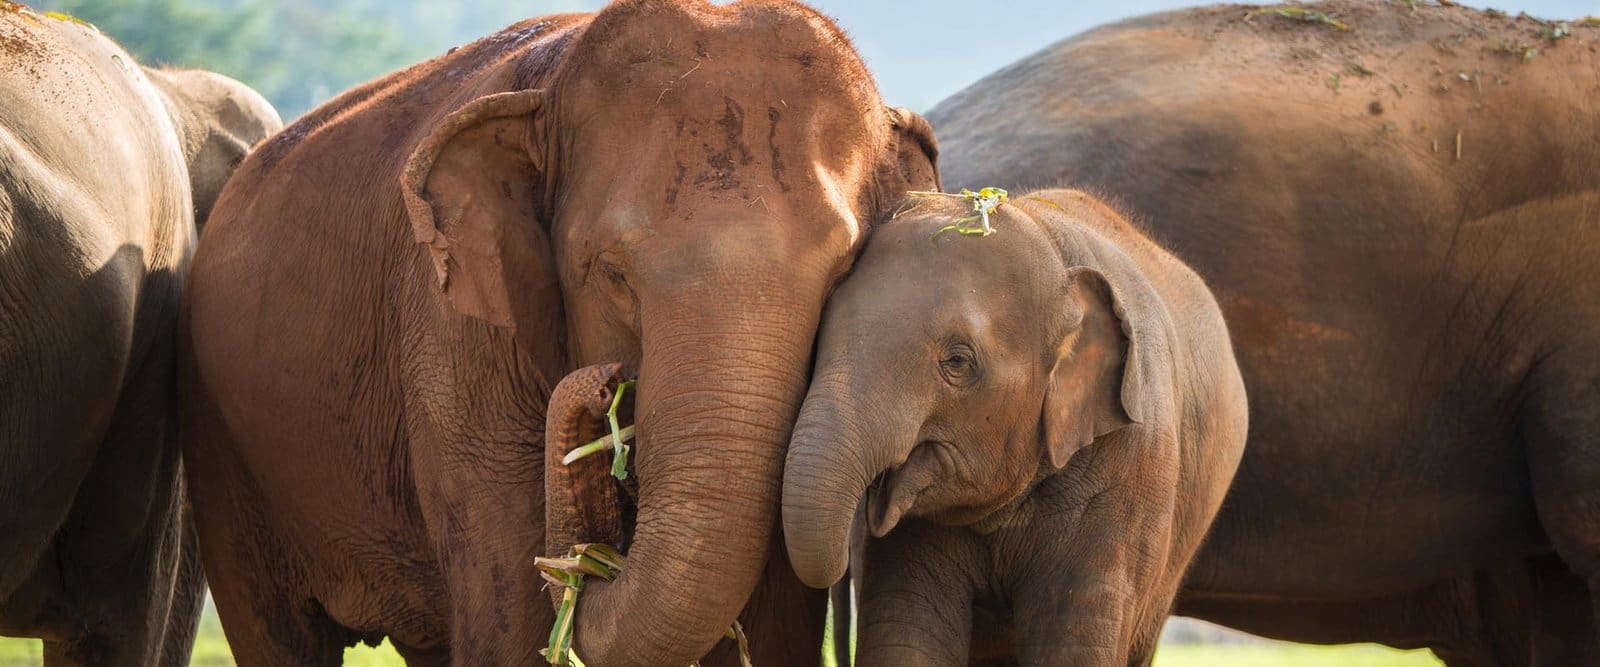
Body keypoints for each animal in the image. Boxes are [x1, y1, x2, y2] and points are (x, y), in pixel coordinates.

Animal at [178, 1, 939, 665]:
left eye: (843, 270)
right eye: (610, 272)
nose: (605, 385)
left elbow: (776, 619)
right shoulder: (452, 342)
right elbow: (509, 619)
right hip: (226, 452)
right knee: (276, 630)